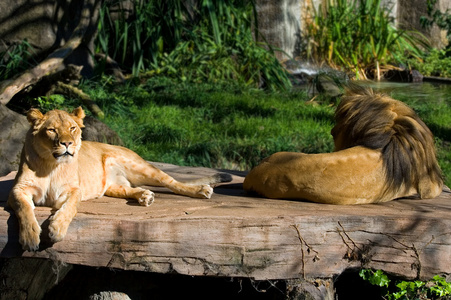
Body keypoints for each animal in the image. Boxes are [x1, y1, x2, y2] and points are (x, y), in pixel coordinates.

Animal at [8, 108, 231, 251]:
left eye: (72, 128)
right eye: (52, 130)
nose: (67, 144)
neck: (51, 166)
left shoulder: (74, 190)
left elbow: (70, 208)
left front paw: (56, 229)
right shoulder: (18, 190)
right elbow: (24, 209)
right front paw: (30, 237)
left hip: (141, 167)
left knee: (173, 183)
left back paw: (201, 190)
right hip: (112, 186)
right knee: (130, 188)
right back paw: (145, 196)